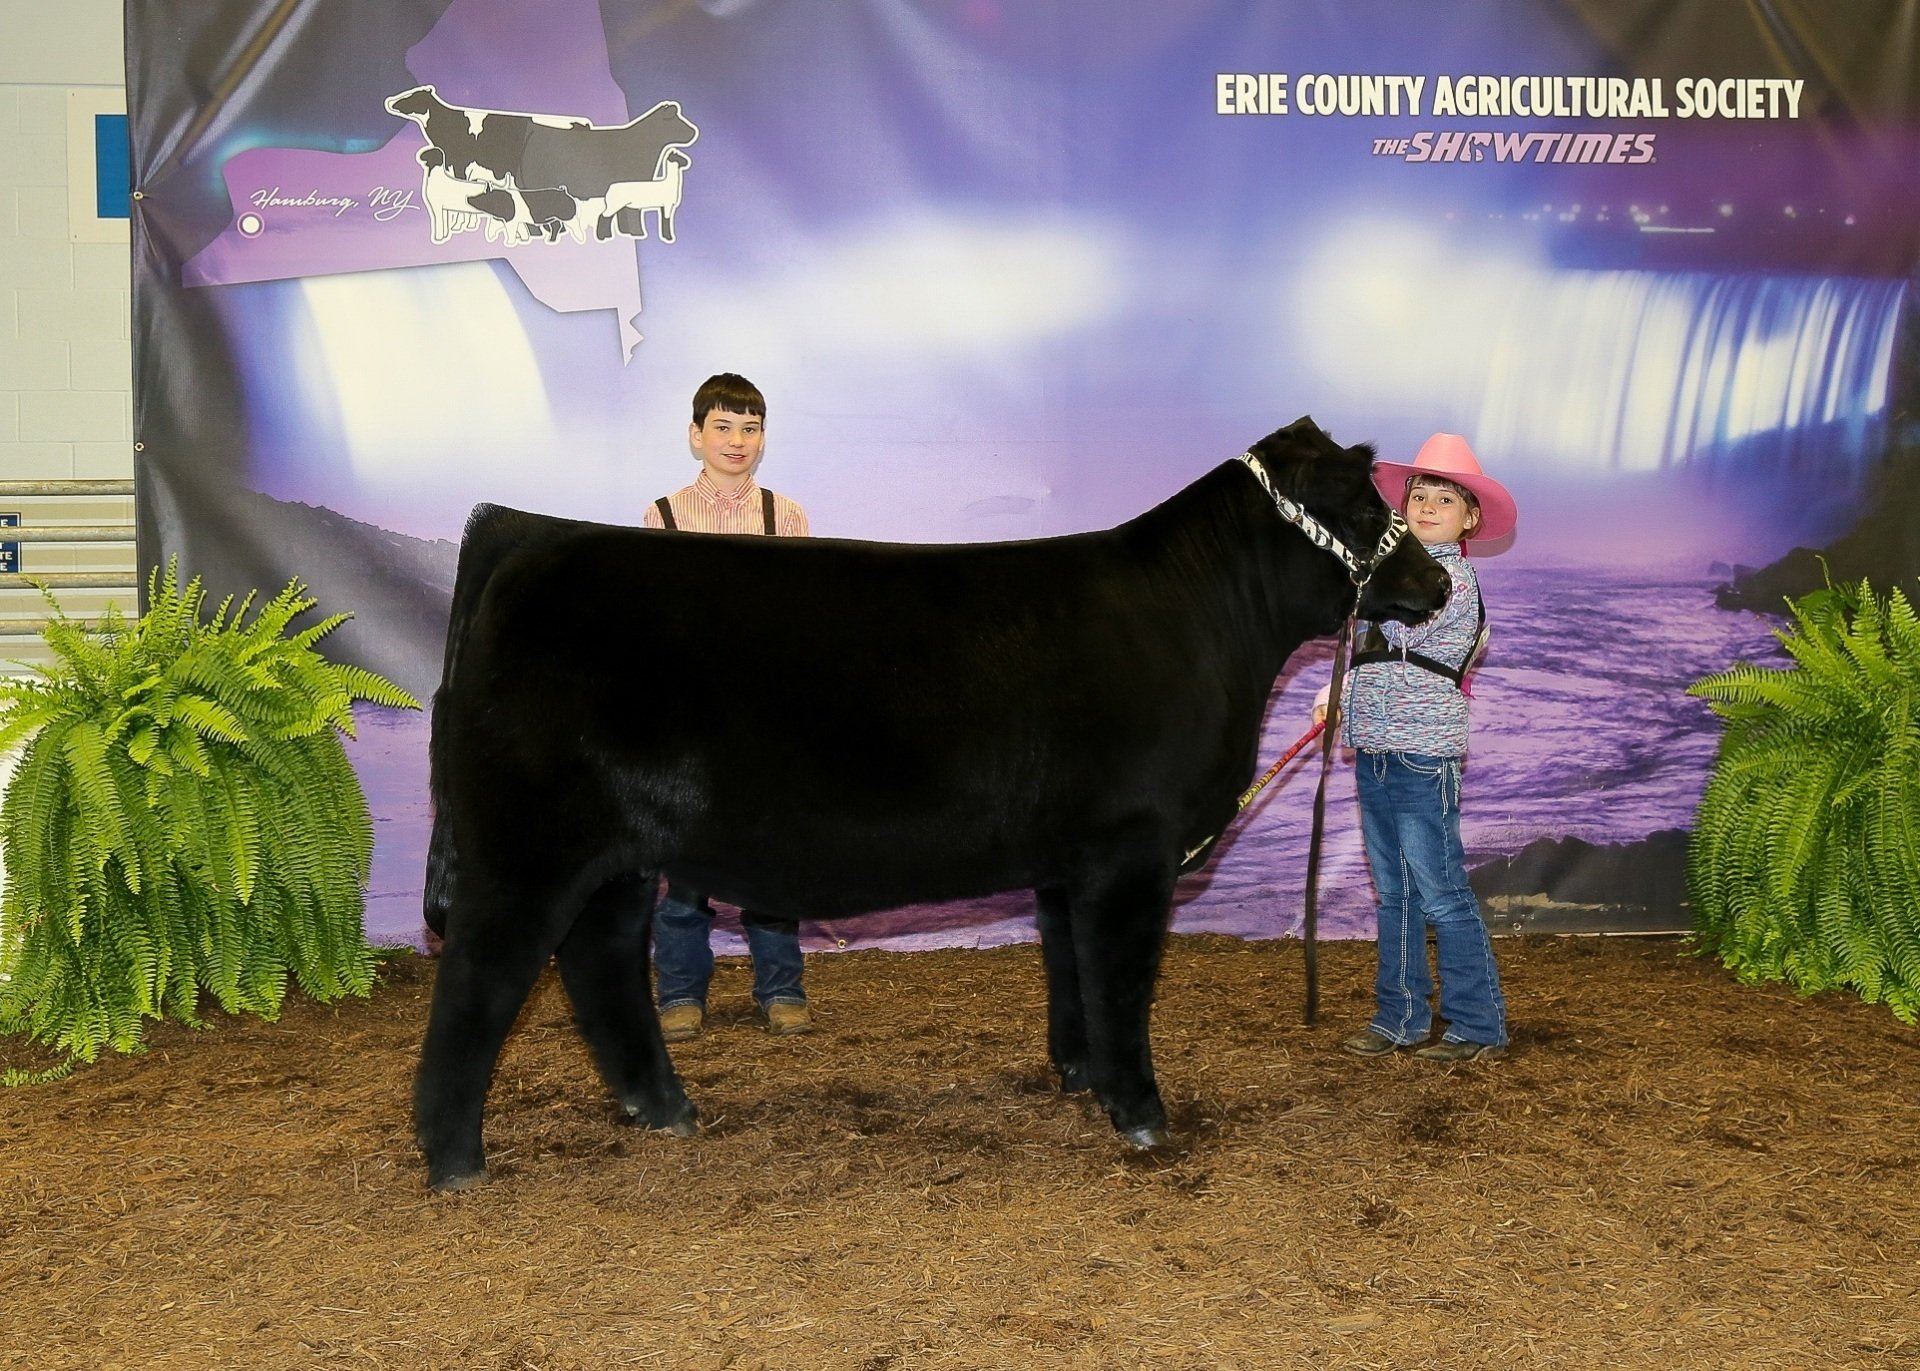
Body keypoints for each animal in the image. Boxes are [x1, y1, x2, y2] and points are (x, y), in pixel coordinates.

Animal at [413, 417, 1449, 1190]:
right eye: (1361, 502)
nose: (1439, 579)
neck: (1202, 621)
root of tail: (528, 531)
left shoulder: (1068, 861)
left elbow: (1071, 971)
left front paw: (1079, 1076)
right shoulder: (1130, 850)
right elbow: (1121, 980)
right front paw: (1143, 1112)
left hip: (616, 857)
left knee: (599, 962)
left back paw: (665, 1110)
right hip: (527, 849)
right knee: (482, 978)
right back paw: (456, 1157)